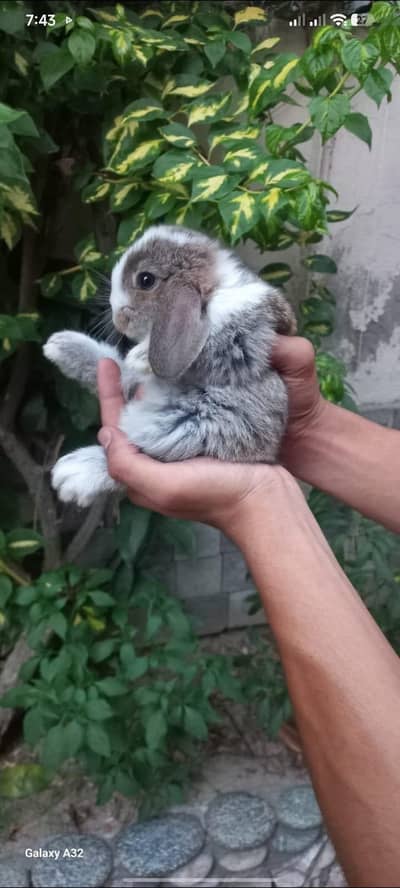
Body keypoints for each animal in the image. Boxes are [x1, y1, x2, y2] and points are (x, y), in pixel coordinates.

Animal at [43, 224, 297, 507]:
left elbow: (215, 337)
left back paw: (74, 473)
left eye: (145, 279)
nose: (117, 317)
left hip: (196, 427)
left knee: (150, 452)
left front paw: (140, 356)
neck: (215, 287)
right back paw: (62, 346)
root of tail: (268, 452)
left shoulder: (238, 331)